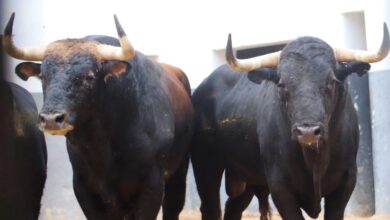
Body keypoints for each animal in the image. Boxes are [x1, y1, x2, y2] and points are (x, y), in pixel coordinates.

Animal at [3, 12, 192, 219]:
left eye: (89, 76)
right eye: (43, 76)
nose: (51, 119)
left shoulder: (153, 185)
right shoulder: (83, 187)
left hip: (179, 172)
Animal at [190, 24, 388, 220]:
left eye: (332, 81)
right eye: (282, 84)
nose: (308, 132)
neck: (315, 159)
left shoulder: (346, 183)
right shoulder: (280, 187)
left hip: (245, 176)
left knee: (233, 208)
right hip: (205, 166)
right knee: (211, 208)